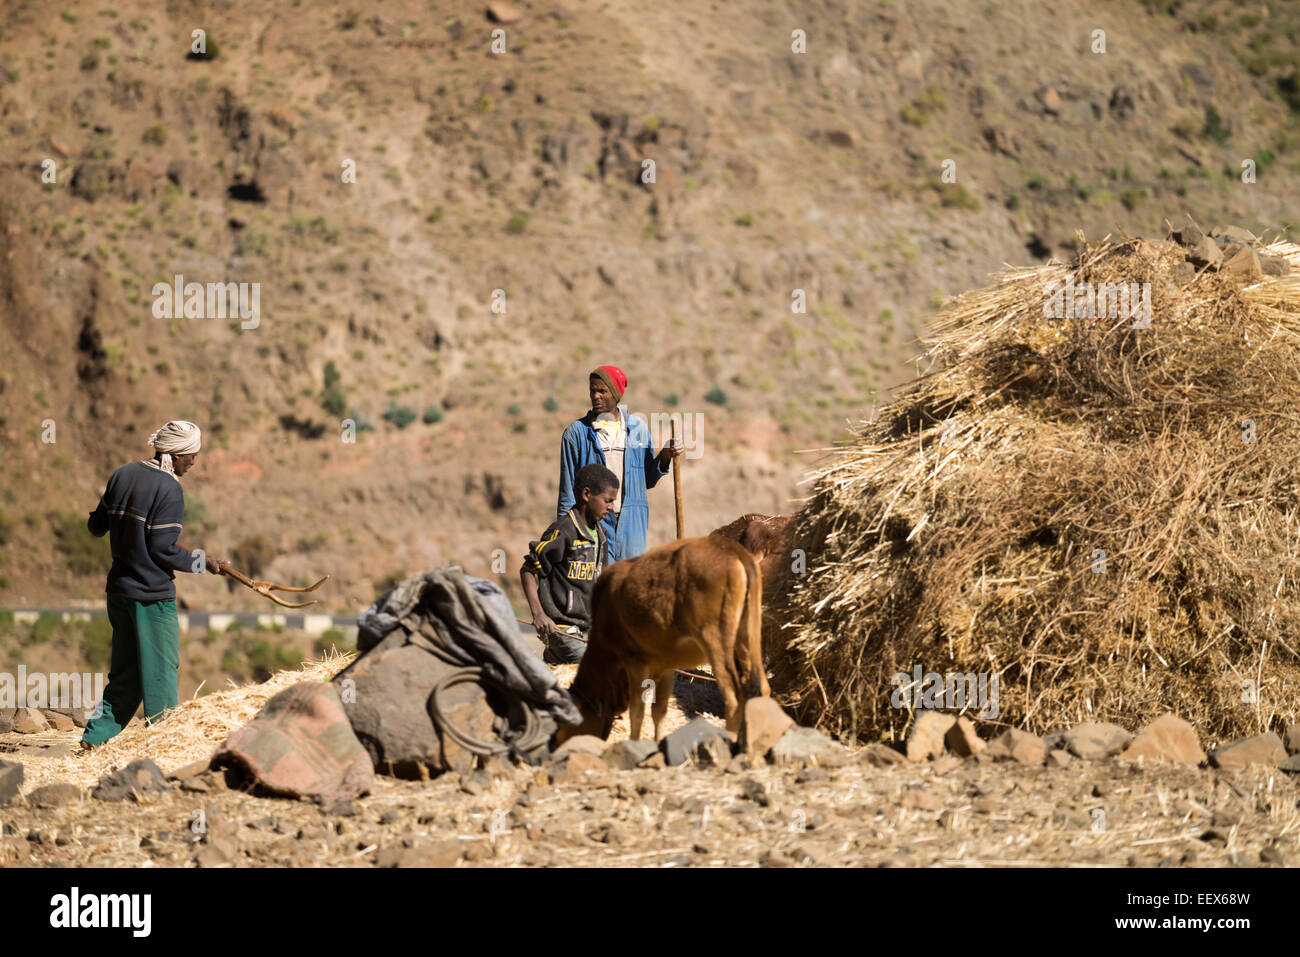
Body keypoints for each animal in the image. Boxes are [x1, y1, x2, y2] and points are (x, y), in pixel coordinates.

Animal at [559, 535, 769, 743]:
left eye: (564, 729)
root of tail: (731, 549)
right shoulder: (666, 666)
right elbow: (659, 711)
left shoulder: (635, 661)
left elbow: (637, 711)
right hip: (748, 637)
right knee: (760, 689)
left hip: (715, 640)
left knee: (733, 697)